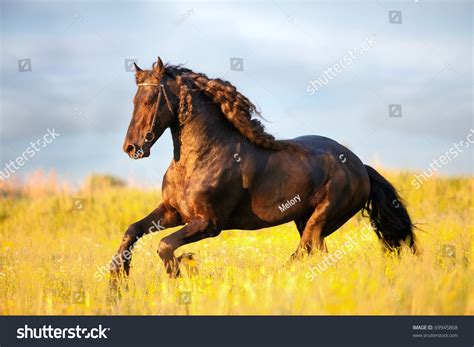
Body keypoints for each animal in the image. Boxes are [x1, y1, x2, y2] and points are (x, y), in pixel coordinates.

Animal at [110, 56, 414, 280]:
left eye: (150, 100)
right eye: (134, 101)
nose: (131, 148)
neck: (199, 159)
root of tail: (359, 165)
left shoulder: (209, 223)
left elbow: (164, 246)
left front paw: (184, 270)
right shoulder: (173, 212)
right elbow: (131, 231)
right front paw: (118, 280)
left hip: (321, 219)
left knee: (306, 250)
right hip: (305, 219)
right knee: (314, 253)